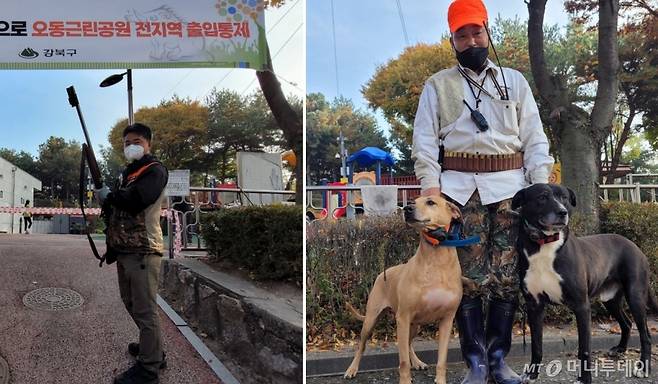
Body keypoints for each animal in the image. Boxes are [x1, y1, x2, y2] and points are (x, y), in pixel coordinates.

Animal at [344, 195, 462, 384]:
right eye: (414, 201)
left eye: (431, 202)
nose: (407, 209)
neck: (436, 261)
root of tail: (382, 273)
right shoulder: (403, 318)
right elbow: (403, 361)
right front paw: (406, 379)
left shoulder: (447, 320)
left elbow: (442, 360)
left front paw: (440, 379)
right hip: (372, 320)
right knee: (361, 346)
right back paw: (352, 369)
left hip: (415, 325)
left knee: (408, 343)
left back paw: (417, 361)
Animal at [512, 183, 656, 384]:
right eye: (542, 197)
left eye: (564, 198)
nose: (562, 212)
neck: (544, 244)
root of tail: (635, 246)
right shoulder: (534, 306)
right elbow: (536, 345)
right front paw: (532, 374)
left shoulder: (581, 306)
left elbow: (584, 349)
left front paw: (584, 379)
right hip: (610, 300)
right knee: (627, 323)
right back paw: (620, 349)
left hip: (635, 296)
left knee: (645, 335)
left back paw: (643, 368)